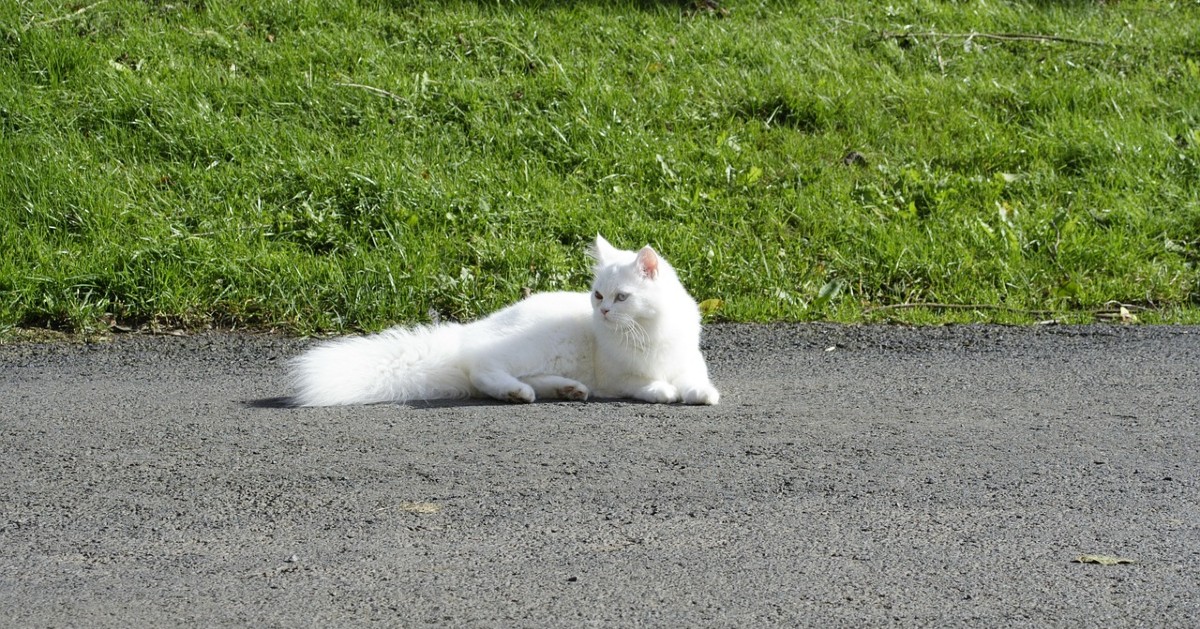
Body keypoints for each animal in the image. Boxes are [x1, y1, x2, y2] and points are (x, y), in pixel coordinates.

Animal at [288, 235, 720, 408]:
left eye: (622, 297)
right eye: (599, 296)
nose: (603, 312)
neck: (648, 331)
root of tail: (469, 330)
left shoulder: (688, 361)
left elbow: (695, 380)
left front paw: (702, 394)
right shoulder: (619, 378)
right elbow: (647, 384)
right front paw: (665, 392)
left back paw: (565, 390)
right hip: (536, 345)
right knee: (481, 368)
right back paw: (517, 393)